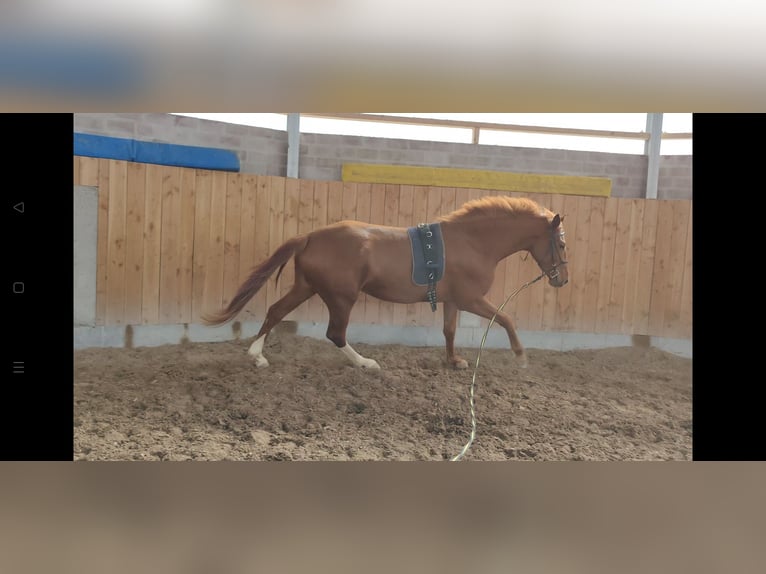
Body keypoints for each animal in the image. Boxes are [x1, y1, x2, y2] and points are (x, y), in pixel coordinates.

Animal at [202, 195, 568, 370]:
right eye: (562, 244)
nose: (562, 280)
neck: (474, 241)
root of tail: (309, 237)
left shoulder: (453, 300)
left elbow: (449, 331)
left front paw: (454, 362)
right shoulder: (471, 299)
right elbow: (505, 318)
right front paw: (520, 356)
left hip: (306, 287)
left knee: (276, 311)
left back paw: (257, 356)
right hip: (341, 297)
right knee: (335, 334)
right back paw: (365, 363)